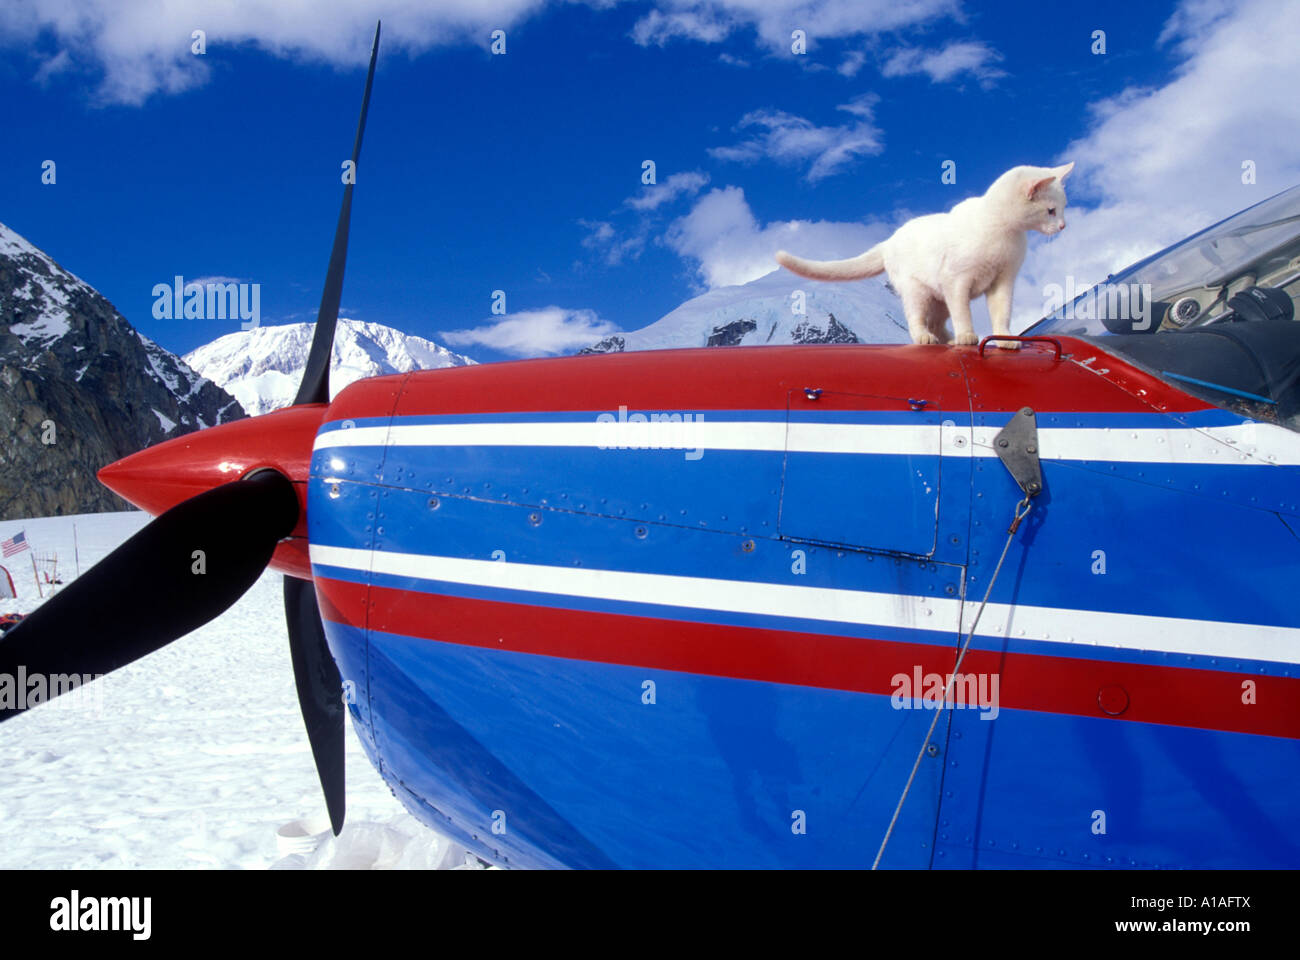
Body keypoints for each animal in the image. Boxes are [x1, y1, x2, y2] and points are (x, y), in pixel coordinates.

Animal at [774, 160, 1071, 348]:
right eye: (1051, 211)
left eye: (1062, 209)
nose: (1063, 226)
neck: (1003, 231)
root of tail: (889, 240)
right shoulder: (957, 281)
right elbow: (963, 312)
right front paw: (967, 335)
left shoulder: (1003, 282)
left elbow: (1002, 313)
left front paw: (1004, 339)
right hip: (918, 291)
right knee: (916, 318)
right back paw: (927, 337)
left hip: (937, 297)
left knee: (937, 322)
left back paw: (947, 339)